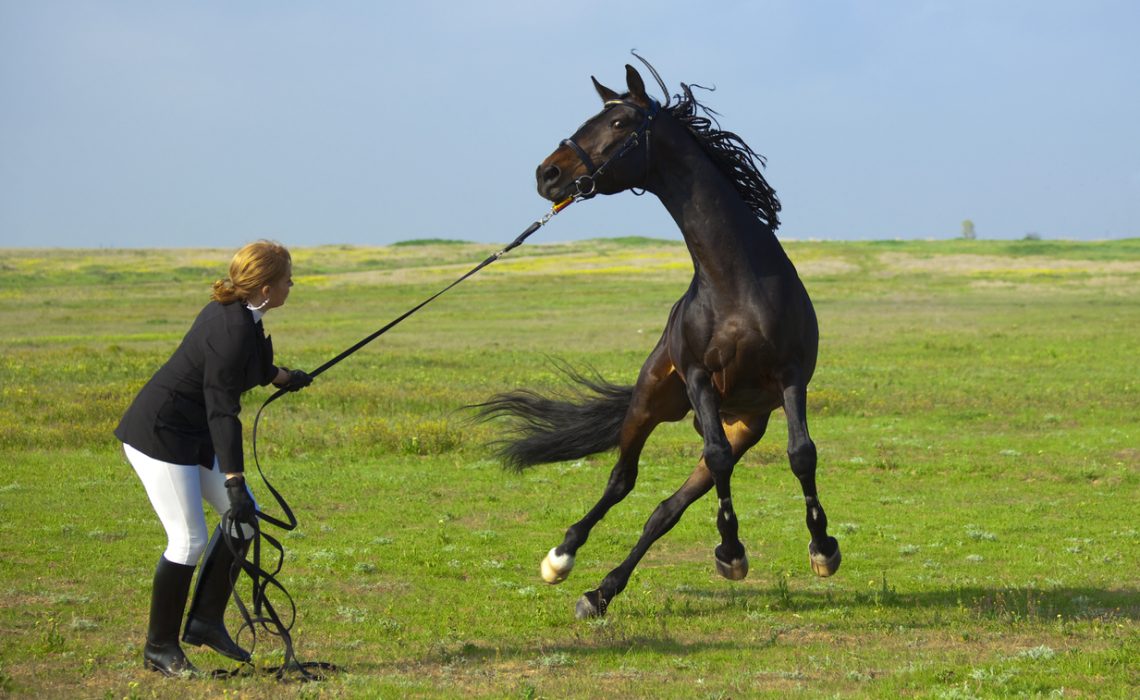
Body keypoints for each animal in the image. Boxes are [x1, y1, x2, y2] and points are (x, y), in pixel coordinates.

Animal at [476, 60, 843, 620]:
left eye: (619, 123)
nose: (547, 174)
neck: (735, 282)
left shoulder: (790, 376)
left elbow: (801, 454)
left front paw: (821, 550)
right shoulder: (698, 377)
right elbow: (715, 460)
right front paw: (731, 552)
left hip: (743, 424)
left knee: (665, 509)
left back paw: (600, 592)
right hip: (651, 401)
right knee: (621, 480)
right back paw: (562, 559)